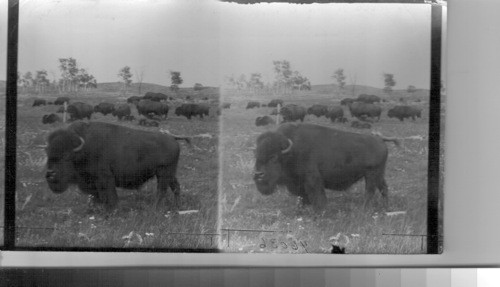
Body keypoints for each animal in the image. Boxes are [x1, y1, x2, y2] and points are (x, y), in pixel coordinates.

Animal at [45, 122, 190, 210]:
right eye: (48, 153)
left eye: (66, 156)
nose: (50, 174)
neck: (83, 149)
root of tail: (172, 138)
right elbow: (97, 196)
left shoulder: (105, 178)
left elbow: (109, 195)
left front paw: (111, 211)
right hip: (170, 173)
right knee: (175, 187)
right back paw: (178, 206)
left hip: (163, 173)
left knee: (161, 191)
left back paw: (153, 208)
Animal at [254, 122, 398, 210]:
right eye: (256, 155)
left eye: (273, 157)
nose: (258, 175)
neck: (291, 151)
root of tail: (380, 139)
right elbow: (302, 197)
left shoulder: (312, 180)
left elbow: (317, 196)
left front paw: (320, 211)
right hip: (379, 174)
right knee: (384, 188)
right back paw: (386, 206)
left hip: (371, 174)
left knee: (369, 192)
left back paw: (363, 209)